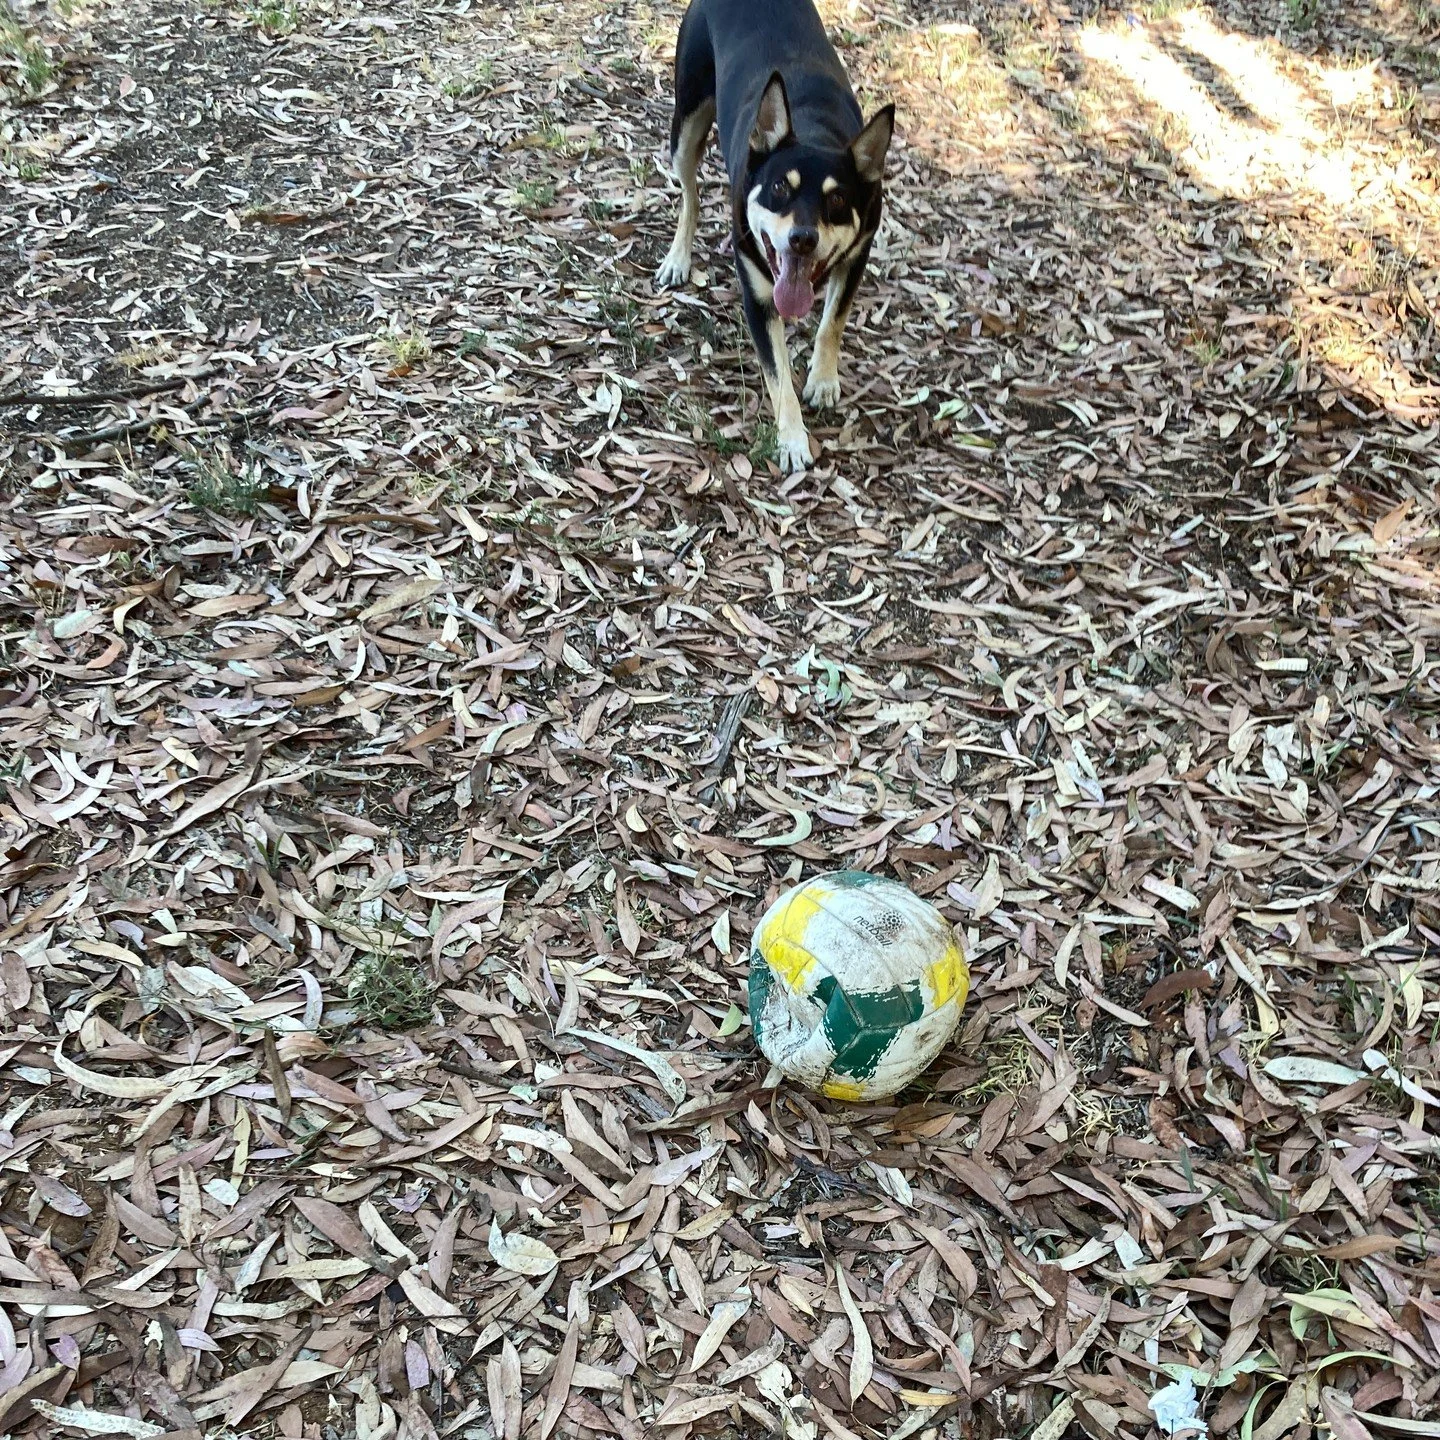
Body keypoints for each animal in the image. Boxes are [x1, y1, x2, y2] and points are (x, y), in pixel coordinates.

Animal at [656, 0, 894, 473]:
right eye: (780, 187)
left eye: (837, 200)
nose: (802, 238)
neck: (814, 128)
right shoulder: (759, 297)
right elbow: (778, 376)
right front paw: (793, 439)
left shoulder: (857, 255)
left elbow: (832, 322)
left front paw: (823, 379)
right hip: (686, 122)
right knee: (690, 192)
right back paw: (678, 257)